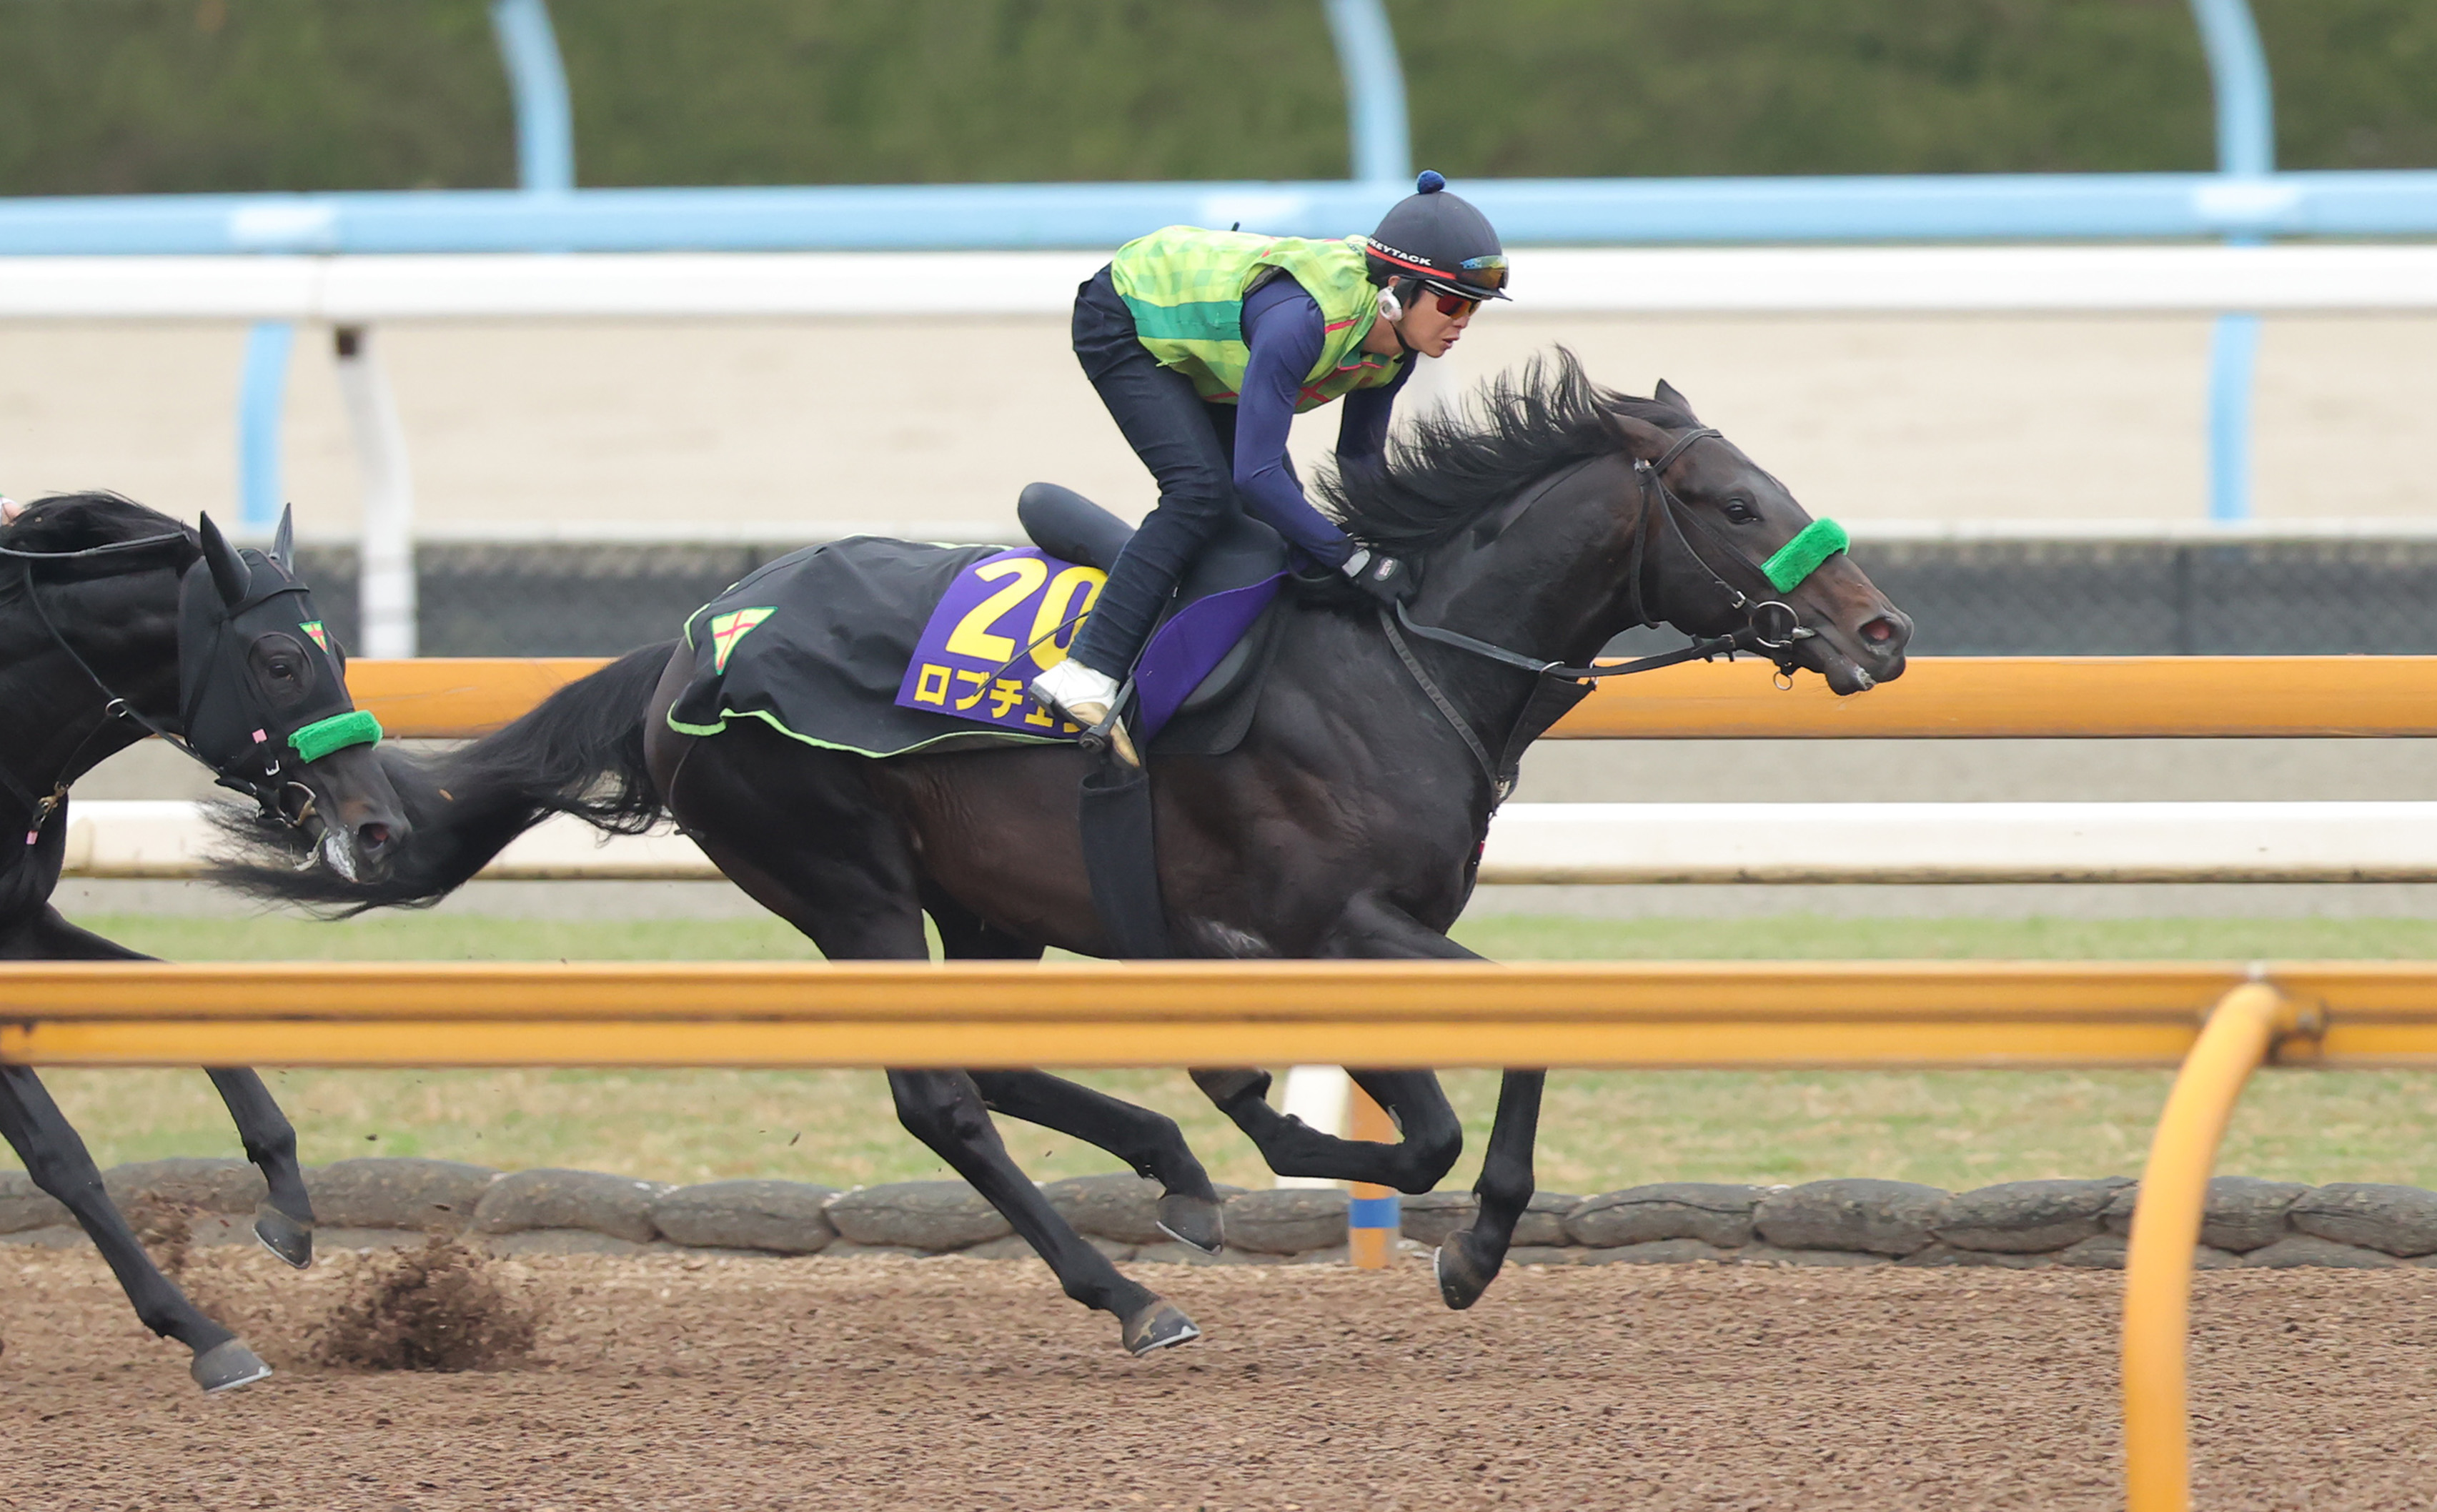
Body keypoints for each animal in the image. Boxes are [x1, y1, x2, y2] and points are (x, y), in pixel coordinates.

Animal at [0, 492, 410, 1391]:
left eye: (339, 654)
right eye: (282, 662)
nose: (381, 830)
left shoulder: (23, 928)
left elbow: (187, 1004)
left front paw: (288, 1206)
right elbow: (59, 1152)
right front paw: (202, 1331)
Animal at [217, 352, 1911, 1356]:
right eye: (1732, 499)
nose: (1885, 631)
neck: (1406, 659)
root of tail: (688, 641)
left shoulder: (1348, 927)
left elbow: (1413, 1091)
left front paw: (1270, 1131)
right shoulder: (1336, 913)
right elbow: (1436, 1113)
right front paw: (1459, 1240)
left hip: (983, 899)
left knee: (993, 1057)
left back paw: (1171, 1171)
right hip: (849, 881)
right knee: (941, 1095)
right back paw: (1130, 1287)